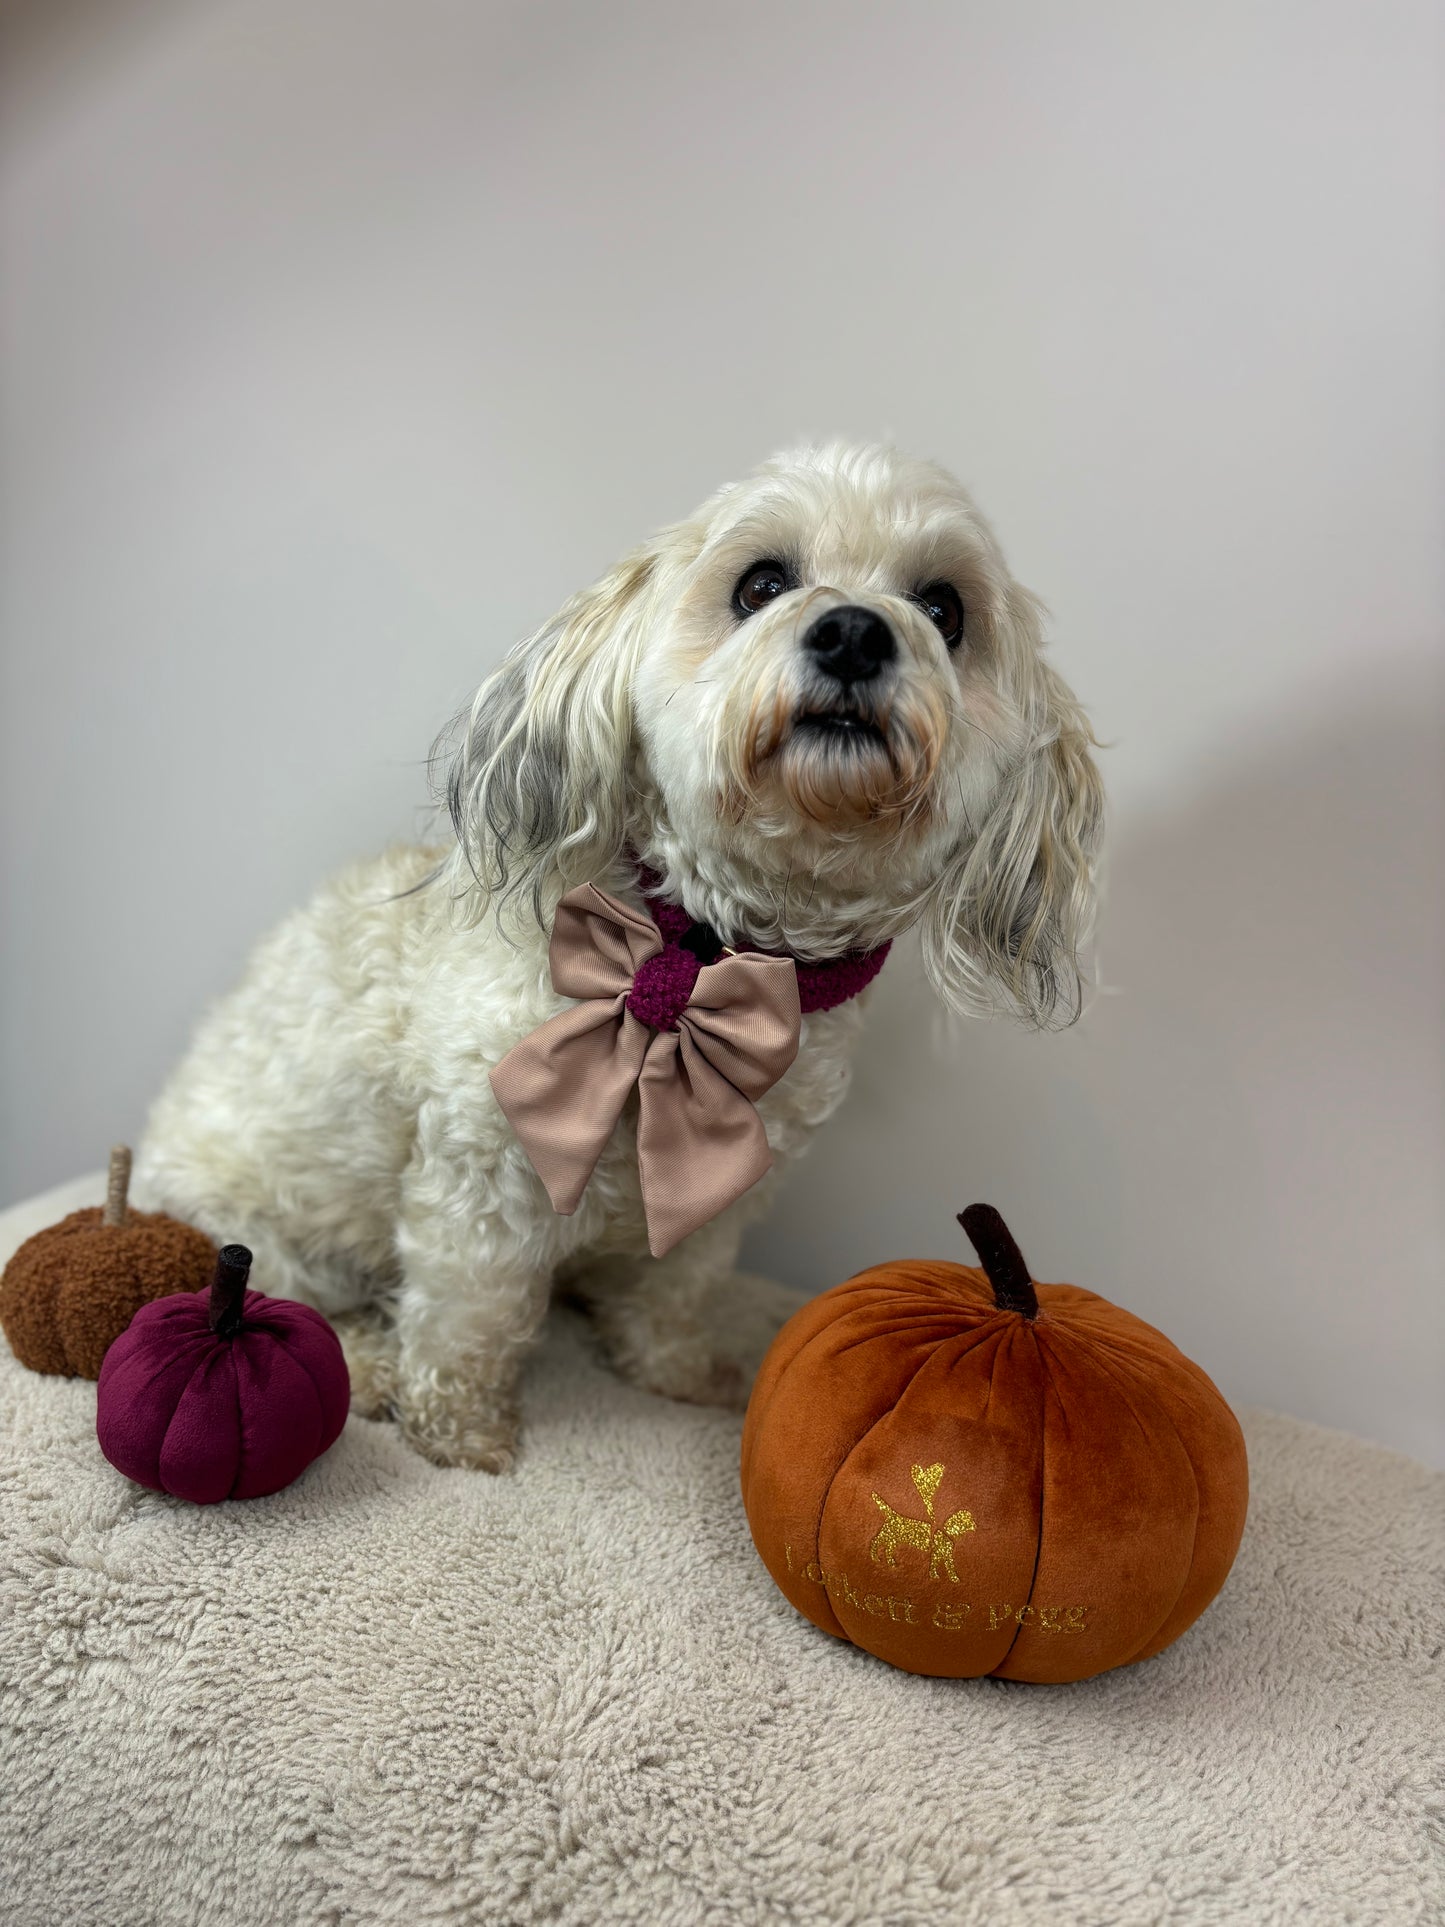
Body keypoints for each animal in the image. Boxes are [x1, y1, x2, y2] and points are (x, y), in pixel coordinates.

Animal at [138, 443, 1109, 1464]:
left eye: (943, 608)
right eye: (762, 584)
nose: (852, 633)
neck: (700, 951)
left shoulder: (726, 1186)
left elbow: (676, 1288)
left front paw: (674, 1373)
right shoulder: (485, 1174)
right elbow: (468, 1314)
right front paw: (460, 1432)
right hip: (262, 1231)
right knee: (268, 1301)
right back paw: (366, 1366)